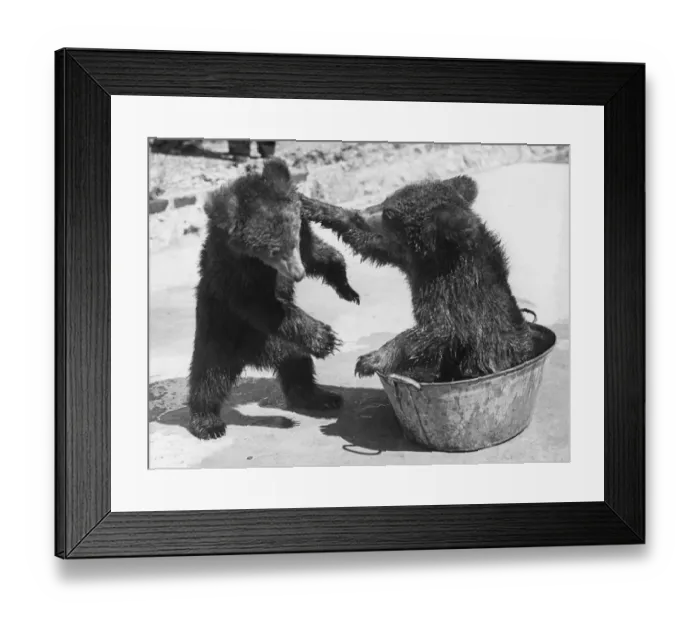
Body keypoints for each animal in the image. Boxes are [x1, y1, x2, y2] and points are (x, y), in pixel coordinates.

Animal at [186, 157, 360, 440]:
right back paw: (207, 423)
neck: (259, 265)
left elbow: (321, 255)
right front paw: (326, 337)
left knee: (298, 364)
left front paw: (348, 290)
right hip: (220, 337)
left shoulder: (303, 245)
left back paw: (321, 397)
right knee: (208, 379)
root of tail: (251, 357)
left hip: (282, 344)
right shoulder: (236, 275)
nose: (298, 275)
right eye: (272, 250)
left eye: (293, 237)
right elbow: (263, 305)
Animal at [301, 174, 535, 383]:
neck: (434, 258)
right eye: (386, 200)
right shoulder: (409, 259)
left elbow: (439, 330)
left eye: (389, 213)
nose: (362, 214)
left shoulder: (456, 293)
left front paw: (370, 360)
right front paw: (314, 205)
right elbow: (369, 243)